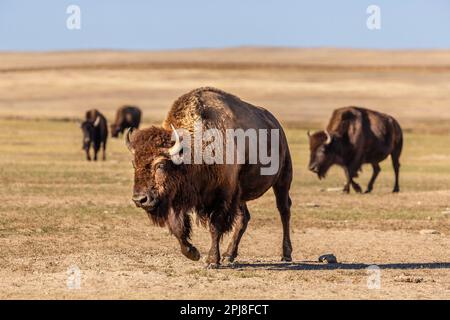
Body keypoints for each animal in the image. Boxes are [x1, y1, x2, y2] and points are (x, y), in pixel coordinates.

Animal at [125, 87, 294, 268]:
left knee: (284, 211)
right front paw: (193, 253)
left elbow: (215, 227)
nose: (140, 199)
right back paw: (229, 255)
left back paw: (286, 254)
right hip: (240, 195)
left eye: (161, 165)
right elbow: (178, 227)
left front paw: (212, 260)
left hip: (282, 180)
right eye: (134, 164)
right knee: (244, 218)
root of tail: (277, 125)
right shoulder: (180, 197)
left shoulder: (222, 197)